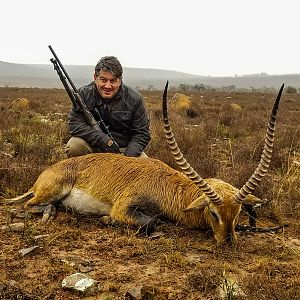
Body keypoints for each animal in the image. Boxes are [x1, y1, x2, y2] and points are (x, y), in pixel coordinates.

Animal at [0, 82, 284, 244]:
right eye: (214, 213)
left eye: (237, 213)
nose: (228, 242)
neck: (167, 186)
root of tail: (43, 175)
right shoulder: (124, 208)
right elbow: (151, 223)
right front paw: (106, 221)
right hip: (52, 190)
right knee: (27, 205)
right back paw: (47, 212)